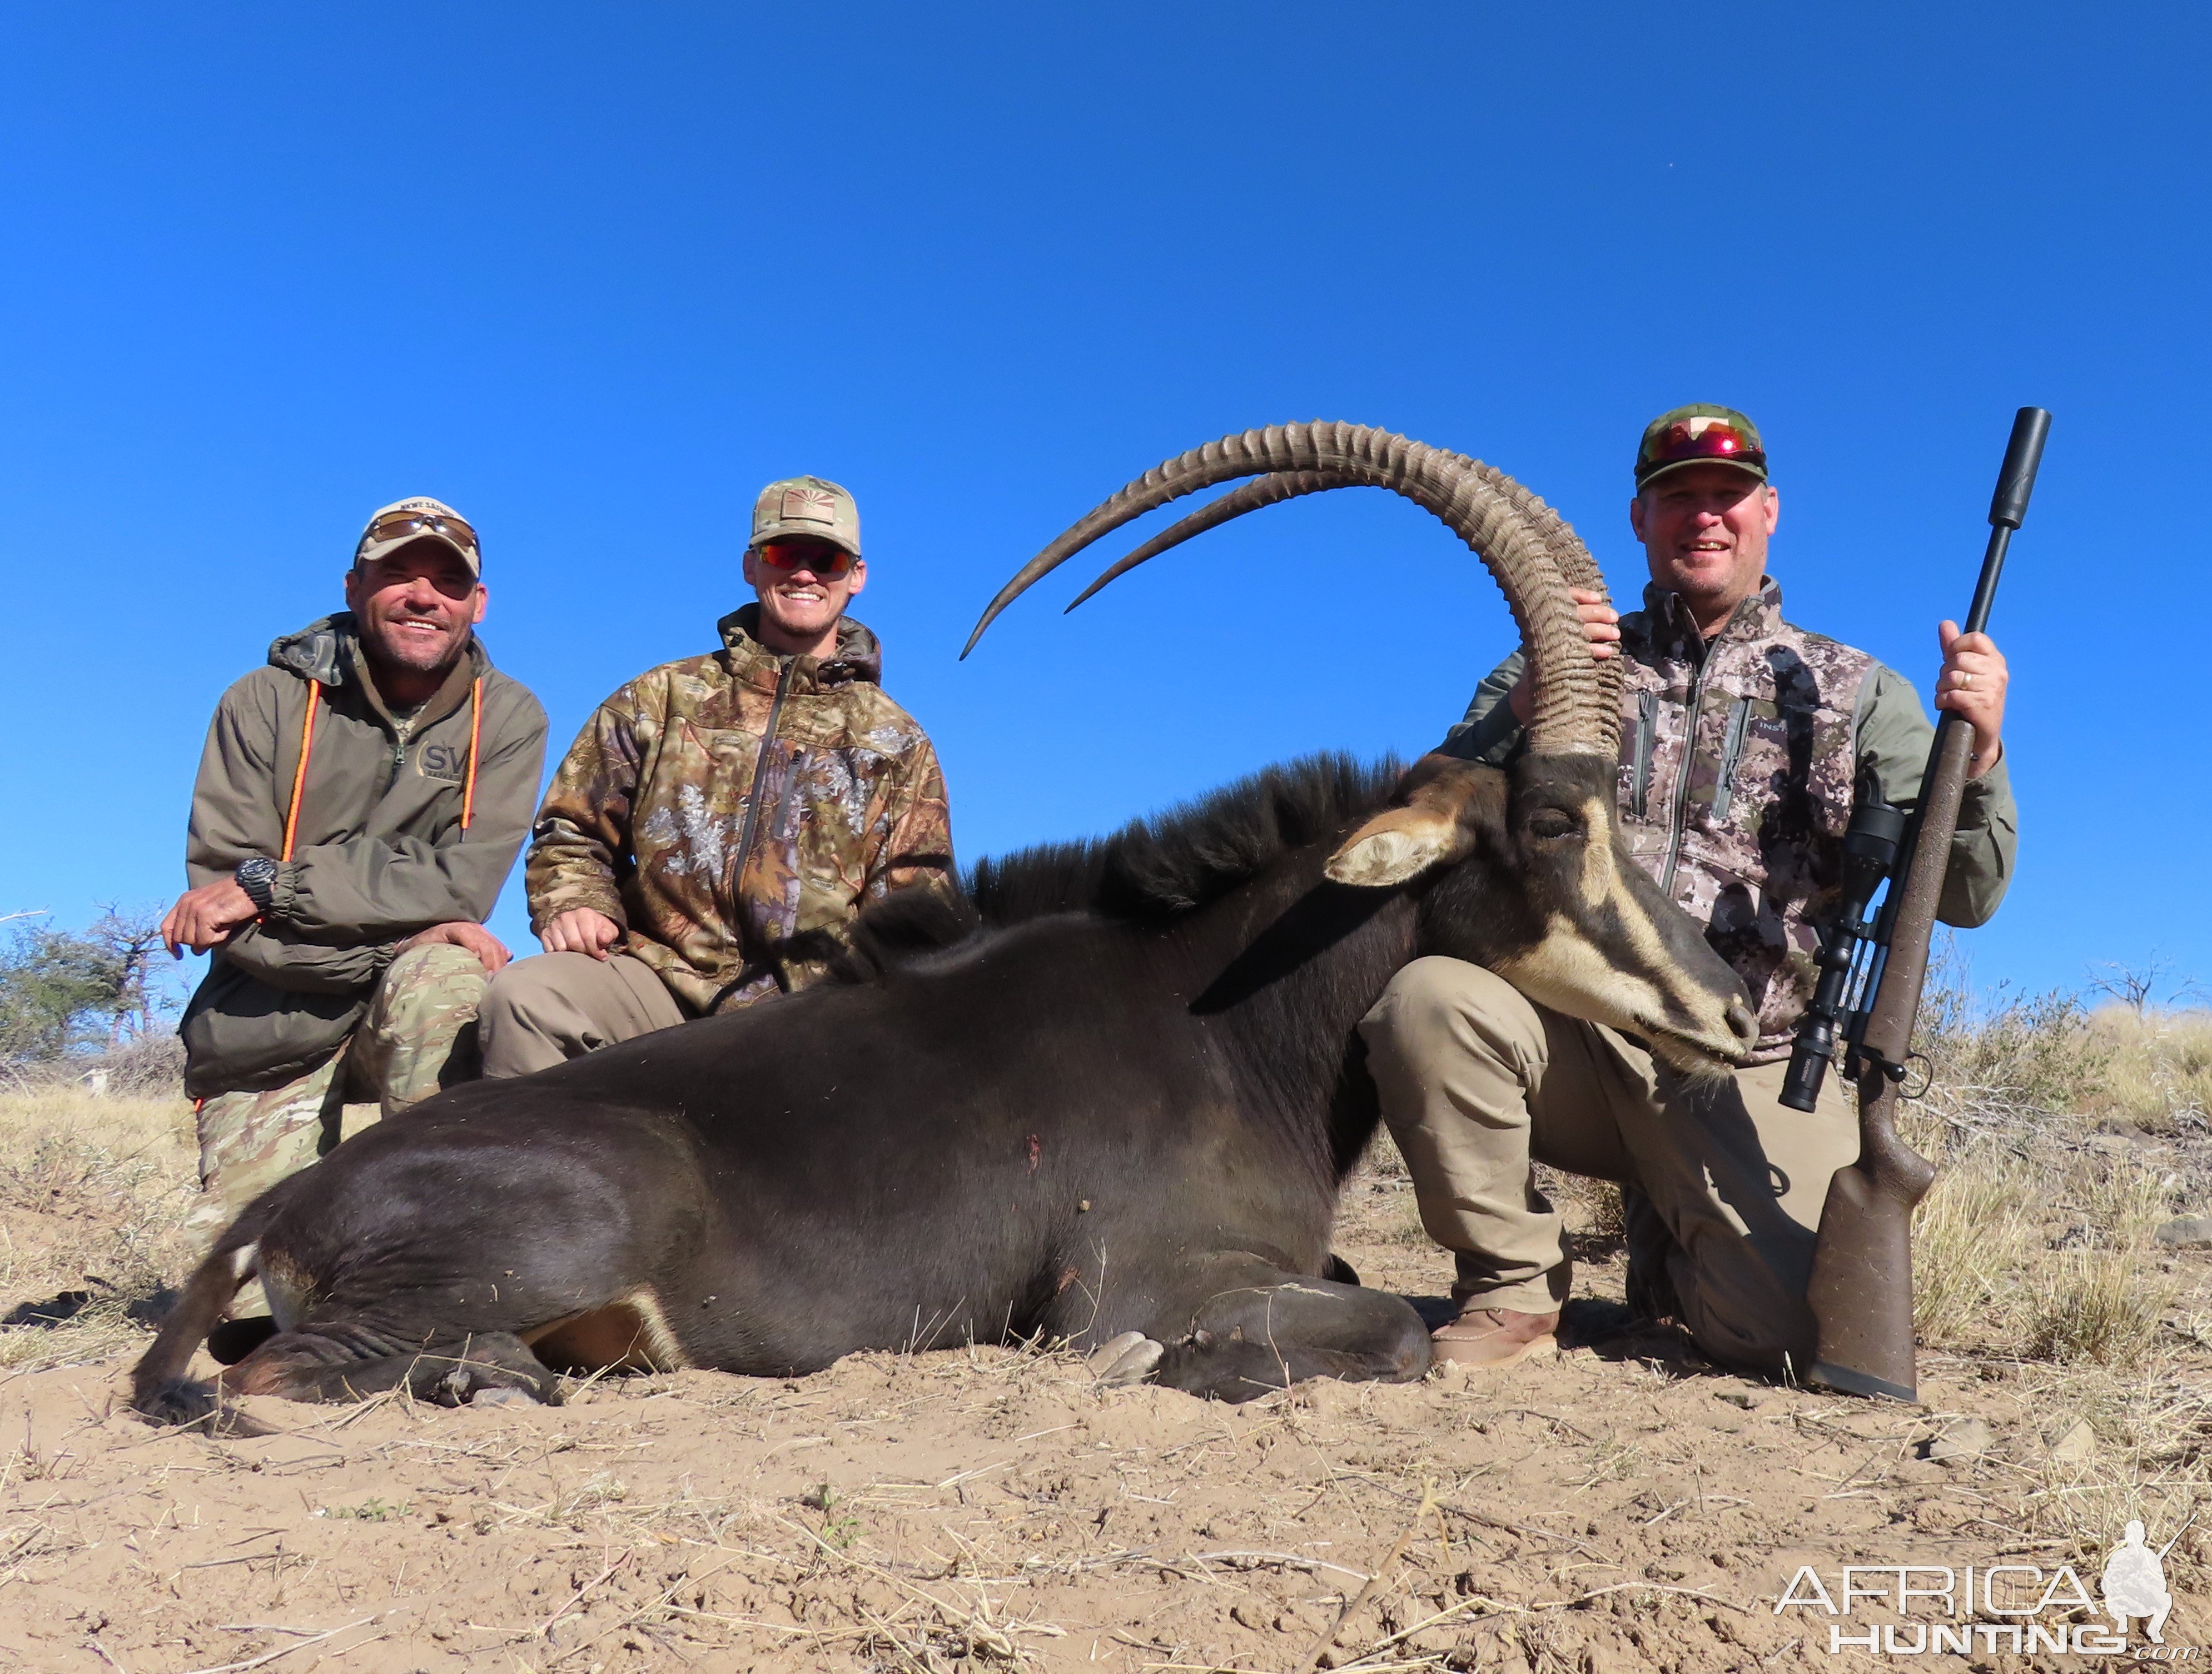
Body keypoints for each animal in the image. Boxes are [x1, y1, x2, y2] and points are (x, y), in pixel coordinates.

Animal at [138, 424, 1761, 1415]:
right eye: (1553, 825)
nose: (1736, 1006)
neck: (1223, 1014)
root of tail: (282, 1206)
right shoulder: (1134, 1280)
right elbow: (1390, 1328)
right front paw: (1182, 1370)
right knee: (268, 1385)